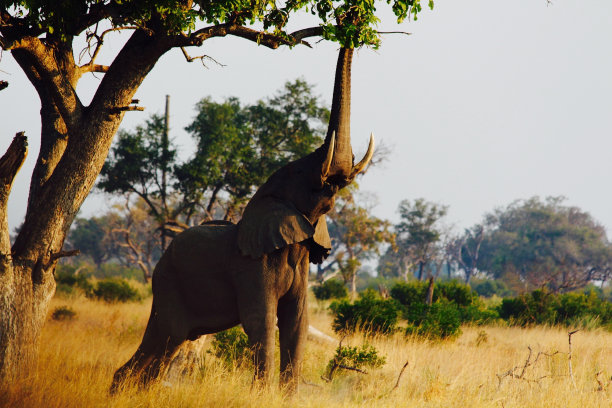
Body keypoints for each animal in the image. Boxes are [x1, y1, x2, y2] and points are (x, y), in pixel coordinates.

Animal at [112, 47, 376, 392]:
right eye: (301, 172)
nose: (349, 26)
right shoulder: (251, 267)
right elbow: (261, 321)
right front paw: (262, 395)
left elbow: (297, 322)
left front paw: (287, 396)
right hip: (168, 283)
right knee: (168, 335)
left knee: (165, 346)